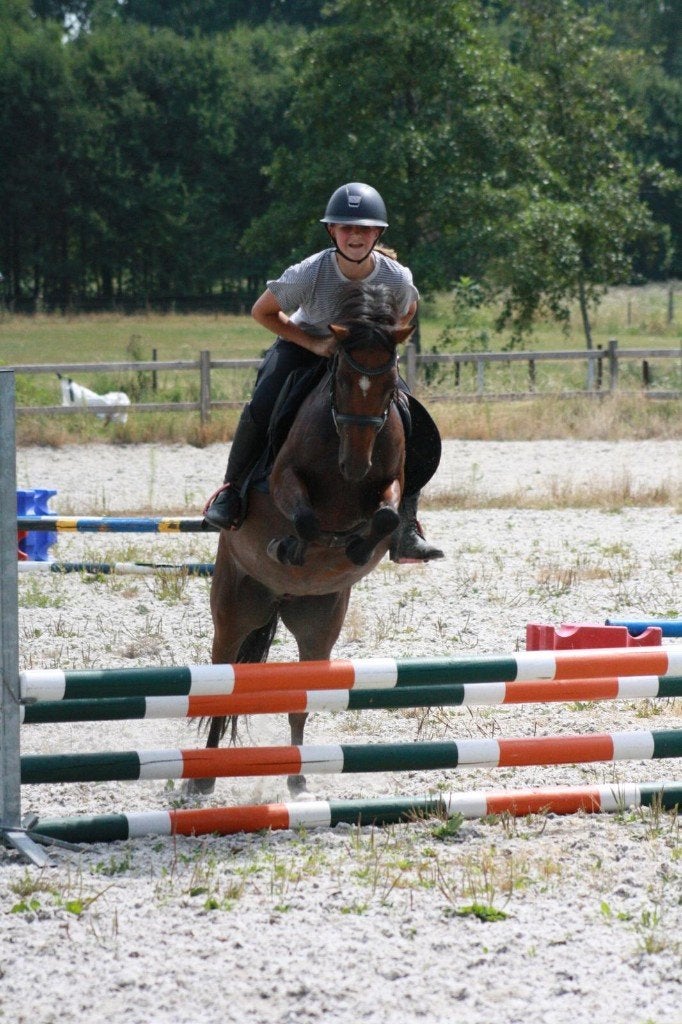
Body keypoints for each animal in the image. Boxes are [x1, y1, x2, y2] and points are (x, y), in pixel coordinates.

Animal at [189, 282, 414, 797]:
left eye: (389, 383)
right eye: (341, 379)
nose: (355, 465)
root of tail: (279, 598)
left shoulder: (391, 480)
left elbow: (387, 513)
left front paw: (358, 546)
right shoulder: (283, 478)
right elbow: (307, 519)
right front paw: (290, 546)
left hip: (318, 625)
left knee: (300, 699)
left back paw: (296, 778)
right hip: (234, 611)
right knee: (222, 684)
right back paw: (204, 777)